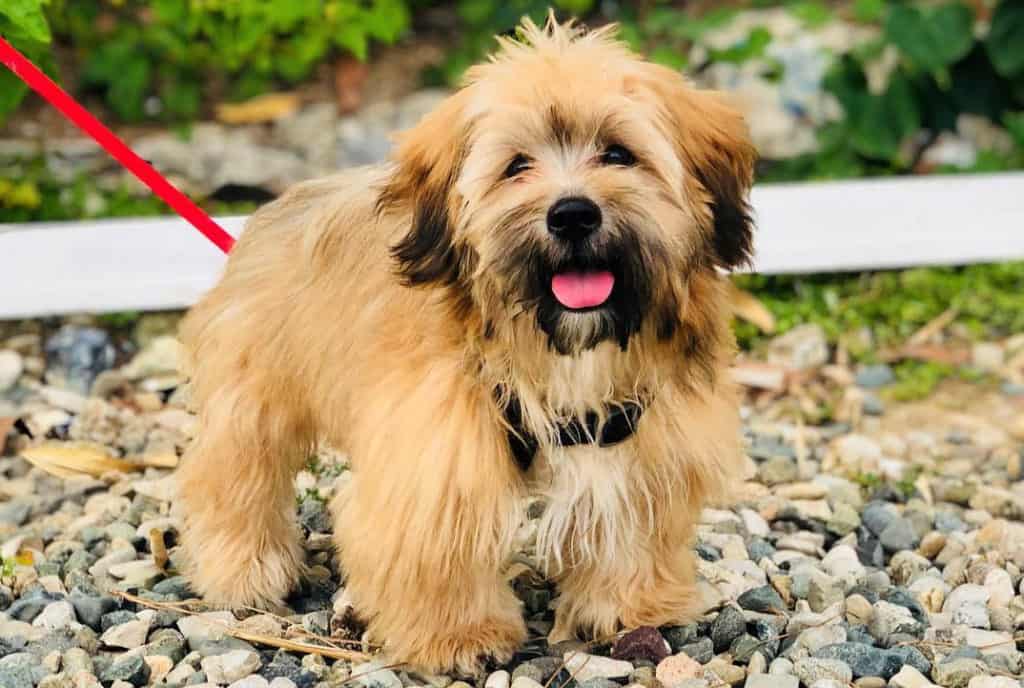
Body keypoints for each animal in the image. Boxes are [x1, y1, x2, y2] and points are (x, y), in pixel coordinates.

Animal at [174, 13, 753, 675]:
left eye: (617, 154)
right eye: (517, 165)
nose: (573, 214)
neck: (556, 348)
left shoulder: (636, 434)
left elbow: (631, 516)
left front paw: (631, 605)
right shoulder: (436, 450)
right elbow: (438, 539)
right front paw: (460, 635)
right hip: (254, 391)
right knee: (237, 474)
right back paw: (246, 568)